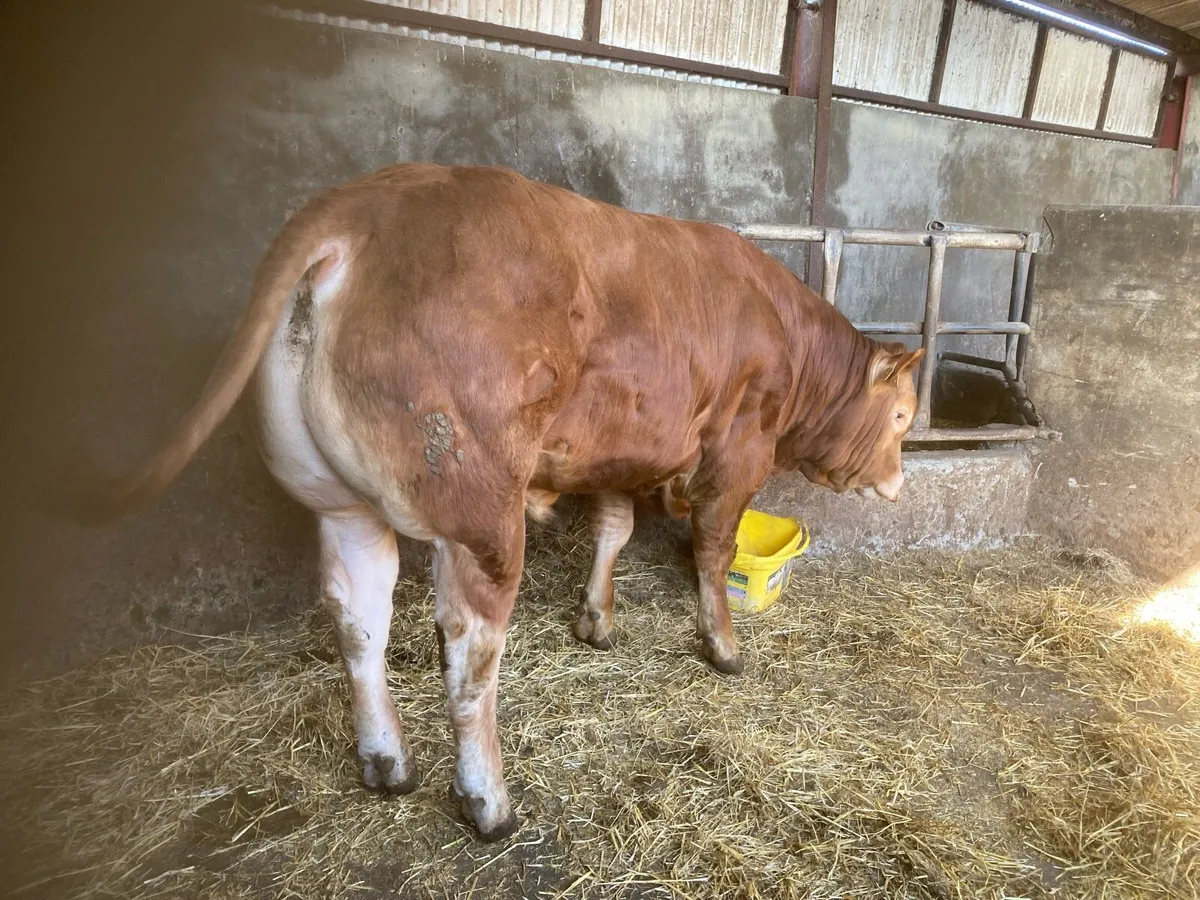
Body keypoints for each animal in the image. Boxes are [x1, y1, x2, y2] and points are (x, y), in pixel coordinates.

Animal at [72, 163, 922, 841]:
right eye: (904, 416)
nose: (900, 481)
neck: (787, 337)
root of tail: (367, 202)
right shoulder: (738, 451)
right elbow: (713, 550)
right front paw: (723, 645)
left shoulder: (619, 446)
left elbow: (613, 527)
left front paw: (596, 619)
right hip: (479, 513)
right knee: (470, 650)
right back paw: (487, 799)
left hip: (338, 503)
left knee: (358, 619)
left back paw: (386, 761)